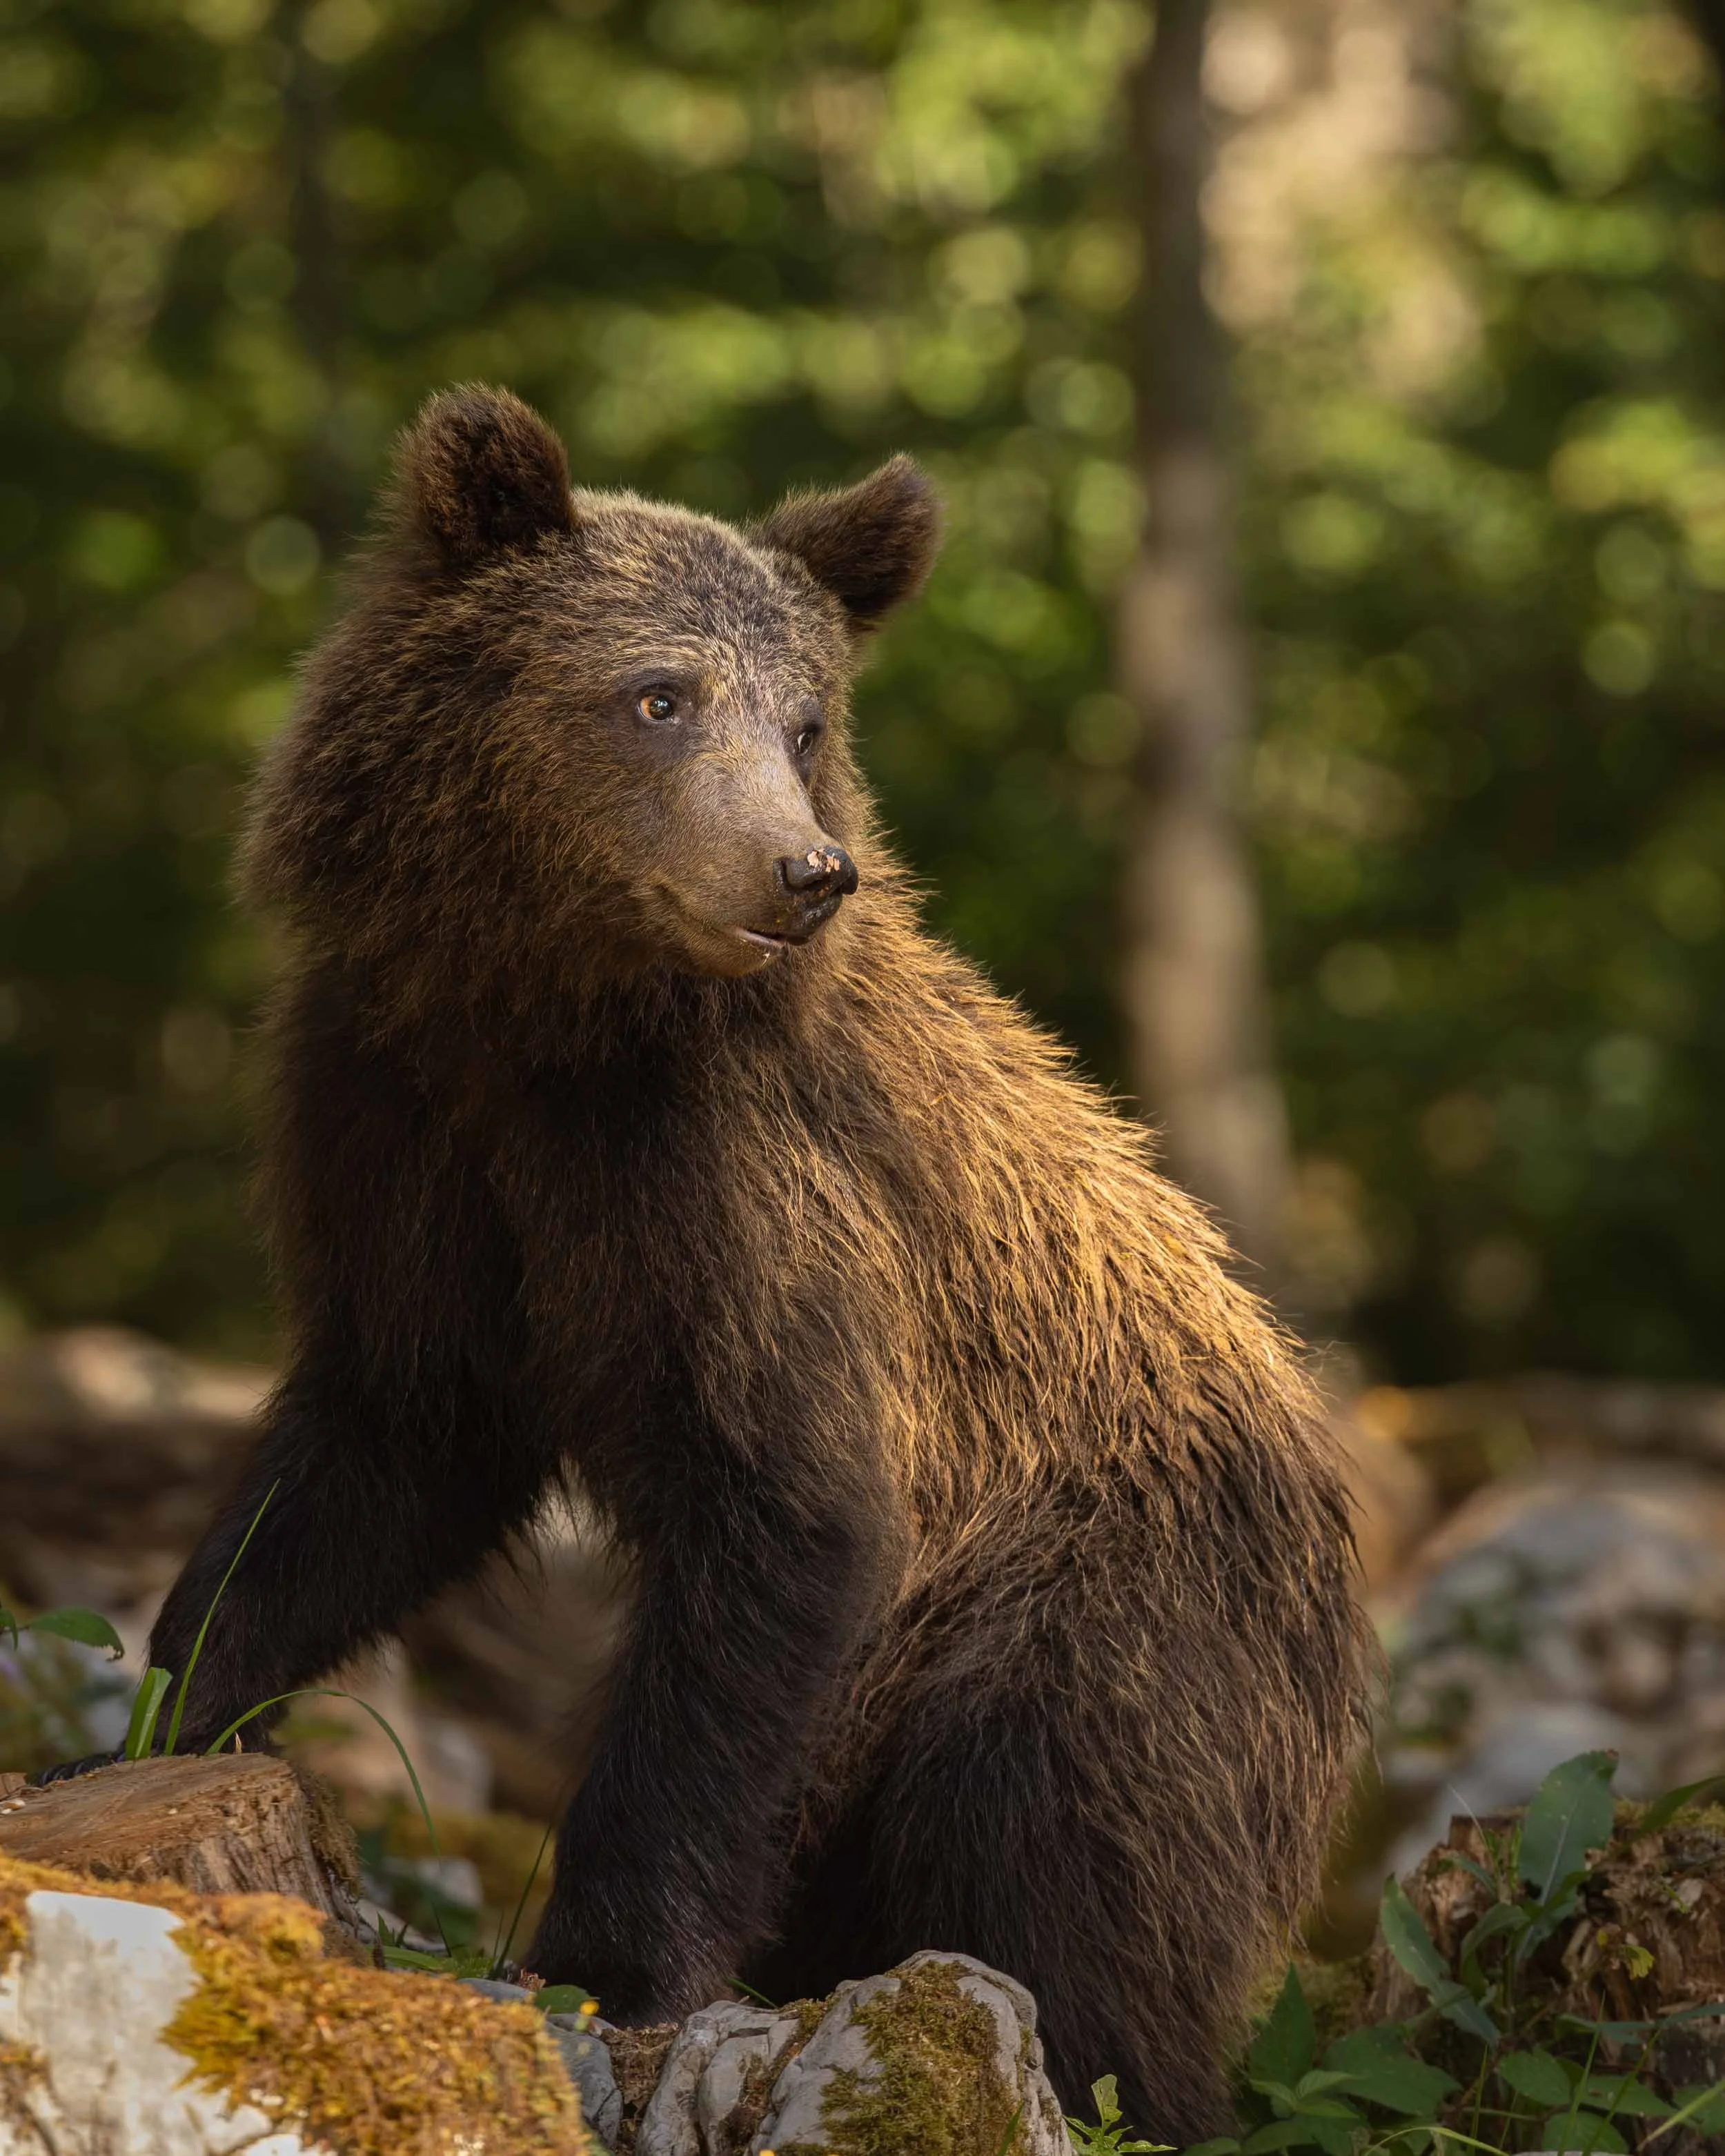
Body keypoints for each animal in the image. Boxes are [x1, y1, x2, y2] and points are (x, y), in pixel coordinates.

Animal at [134, 385, 1368, 2140]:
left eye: (803, 721)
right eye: (658, 693)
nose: (803, 871)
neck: (544, 1014)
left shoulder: (730, 1194)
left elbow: (779, 1518)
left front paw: (595, 1956)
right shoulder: (398, 1125)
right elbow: (378, 1448)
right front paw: (173, 1701)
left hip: (1116, 1603)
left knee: (1057, 1836)